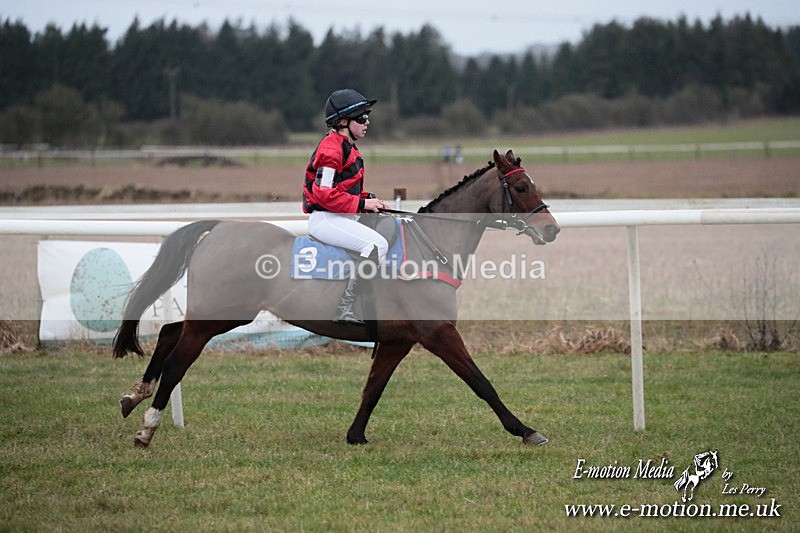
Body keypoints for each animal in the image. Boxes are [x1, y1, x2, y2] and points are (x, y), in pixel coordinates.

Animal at [113, 149, 561, 448]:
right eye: (521, 186)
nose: (552, 229)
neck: (428, 248)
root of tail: (219, 227)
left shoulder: (398, 340)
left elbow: (373, 388)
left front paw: (355, 435)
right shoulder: (438, 332)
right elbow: (481, 382)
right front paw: (526, 430)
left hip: (224, 315)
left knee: (169, 333)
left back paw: (133, 396)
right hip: (218, 316)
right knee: (177, 361)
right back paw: (147, 427)